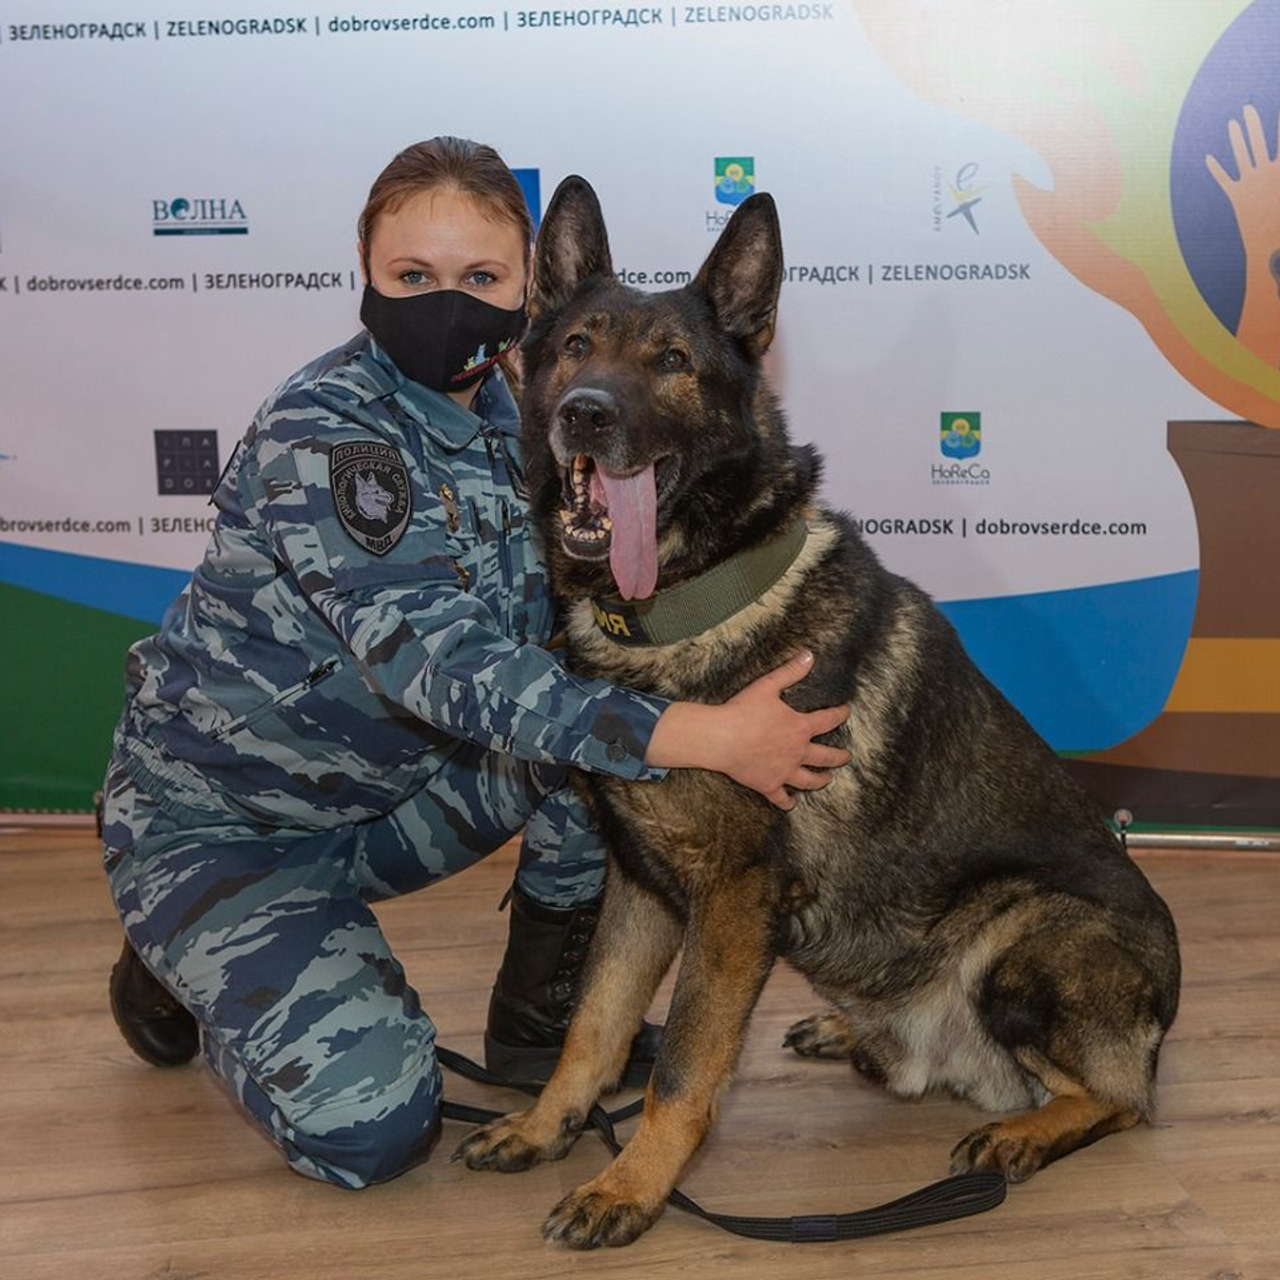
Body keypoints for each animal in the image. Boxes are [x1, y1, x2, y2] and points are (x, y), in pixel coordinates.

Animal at [458, 177, 1177, 1249]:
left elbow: (684, 1066)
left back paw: (1021, 1134)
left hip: (1029, 933)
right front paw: (549, 1129)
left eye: (671, 363)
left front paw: (630, 1187)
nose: (585, 415)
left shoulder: (731, 899)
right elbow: (594, 1026)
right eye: (577, 346)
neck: (685, 602)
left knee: (1121, 1099)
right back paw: (853, 1029)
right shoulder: (641, 886)